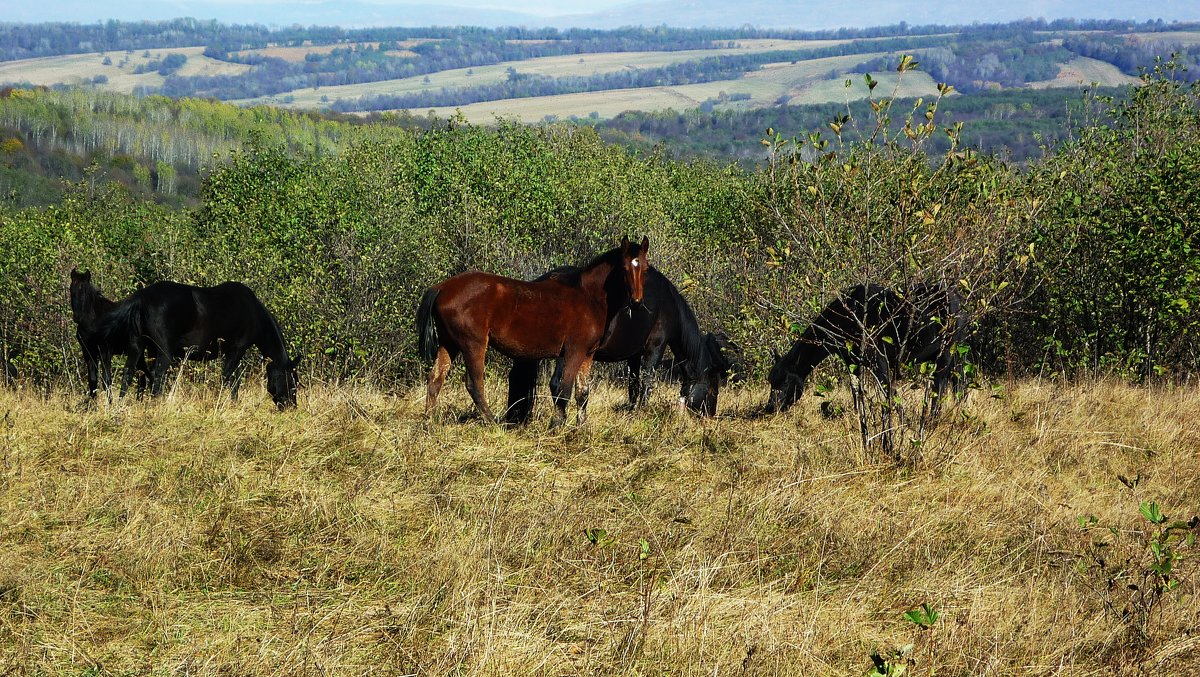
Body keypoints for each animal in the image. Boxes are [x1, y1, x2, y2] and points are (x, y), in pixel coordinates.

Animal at [69, 268, 152, 398]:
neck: (94, 321)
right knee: (143, 377)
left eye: (85, 292)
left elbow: (106, 381)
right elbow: (92, 381)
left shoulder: (105, 351)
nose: (77, 317)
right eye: (71, 290)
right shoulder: (88, 352)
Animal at [100, 278, 302, 408]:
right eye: (291, 380)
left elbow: (234, 379)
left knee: (129, 372)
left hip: (138, 345)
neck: (253, 312)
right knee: (158, 375)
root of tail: (141, 298)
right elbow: (229, 377)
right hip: (163, 349)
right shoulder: (236, 350)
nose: (291, 406)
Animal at [420, 237, 648, 424]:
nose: (636, 302)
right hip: (473, 344)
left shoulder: (588, 354)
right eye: (624, 268)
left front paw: (582, 427)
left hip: (449, 343)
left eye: (645, 269)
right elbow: (564, 390)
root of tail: (442, 287)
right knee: (474, 383)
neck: (588, 297)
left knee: (435, 380)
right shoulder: (574, 351)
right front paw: (557, 425)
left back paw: (429, 422)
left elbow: (582, 393)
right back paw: (492, 422)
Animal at [501, 265, 734, 420]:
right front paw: (641, 412)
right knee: (557, 383)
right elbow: (647, 383)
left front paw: (631, 411)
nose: (711, 415)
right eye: (712, 388)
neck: (668, 304)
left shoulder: (634, 355)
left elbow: (633, 384)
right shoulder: (655, 347)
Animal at [768, 282, 964, 412]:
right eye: (771, 382)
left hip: (945, 354)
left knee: (940, 386)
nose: (770, 407)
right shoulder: (853, 361)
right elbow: (857, 391)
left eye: (783, 381)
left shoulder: (880, 360)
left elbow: (889, 391)